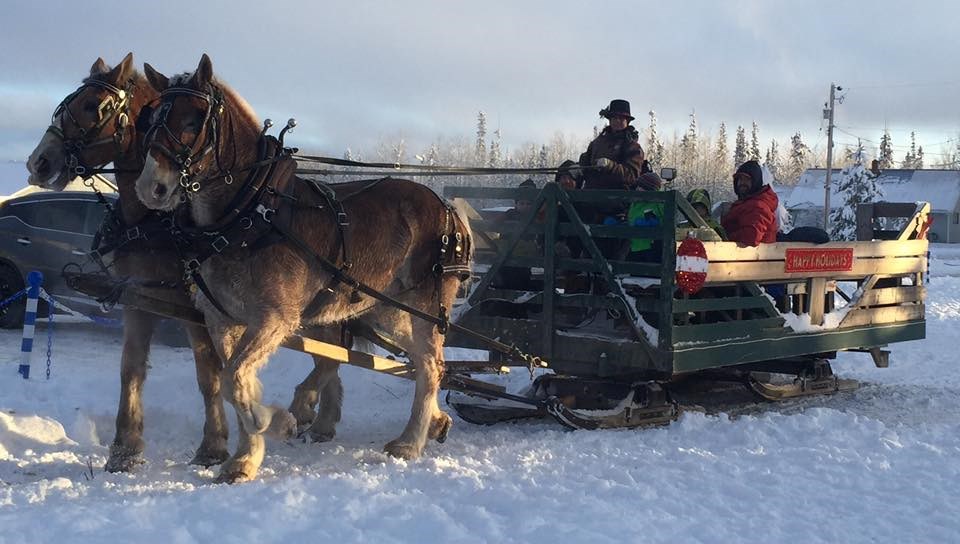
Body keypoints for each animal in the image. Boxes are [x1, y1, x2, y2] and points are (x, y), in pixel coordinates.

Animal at [135, 53, 472, 482]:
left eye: (194, 120)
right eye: (149, 120)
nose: (151, 188)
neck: (251, 213)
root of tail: (448, 208)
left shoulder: (274, 318)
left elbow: (235, 380)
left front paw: (278, 422)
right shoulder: (222, 320)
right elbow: (233, 381)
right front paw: (245, 458)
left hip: (422, 307)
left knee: (429, 364)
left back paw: (409, 442)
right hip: (388, 311)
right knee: (427, 362)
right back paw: (435, 422)